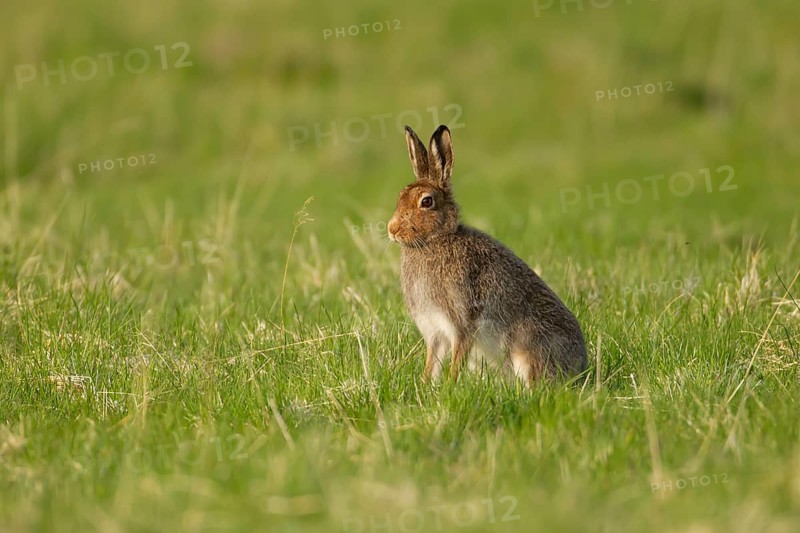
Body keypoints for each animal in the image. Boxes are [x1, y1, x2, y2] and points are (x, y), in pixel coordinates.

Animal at [387, 125, 587, 385]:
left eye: (427, 201)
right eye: (400, 197)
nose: (392, 230)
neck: (435, 241)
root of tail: (581, 366)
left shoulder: (462, 322)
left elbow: (457, 359)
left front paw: (449, 386)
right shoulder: (435, 331)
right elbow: (432, 364)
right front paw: (426, 386)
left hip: (527, 349)